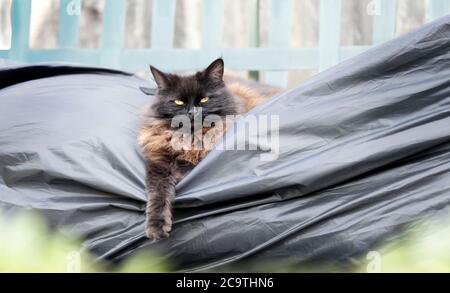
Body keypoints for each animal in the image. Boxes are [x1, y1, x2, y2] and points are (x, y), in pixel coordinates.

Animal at [138, 58, 278, 238]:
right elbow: (158, 193)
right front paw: (156, 226)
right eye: (178, 102)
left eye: (204, 100)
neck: (191, 138)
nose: (192, 112)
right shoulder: (158, 163)